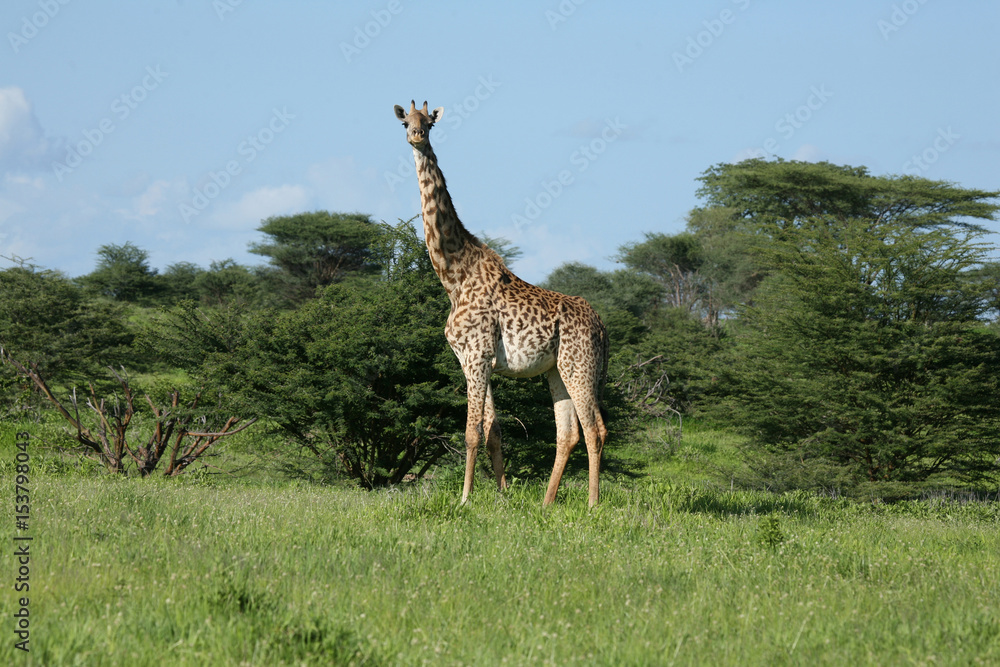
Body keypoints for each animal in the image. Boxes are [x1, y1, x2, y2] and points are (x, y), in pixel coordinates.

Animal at [393, 100, 610, 506]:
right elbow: (493, 431)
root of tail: (603, 327)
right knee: (568, 433)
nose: (416, 136)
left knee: (594, 430)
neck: (454, 277)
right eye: (404, 122)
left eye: (430, 123)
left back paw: (592, 504)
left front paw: (464, 499)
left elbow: (471, 432)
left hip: (580, 365)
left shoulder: (477, 356)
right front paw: (503, 496)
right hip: (556, 369)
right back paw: (546, 502)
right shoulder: (475, 360)